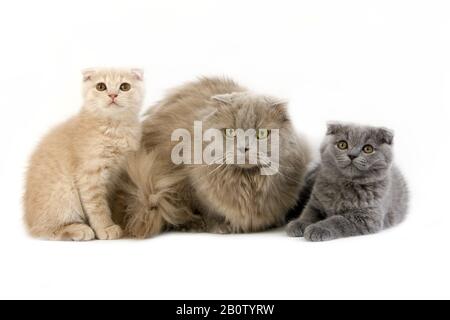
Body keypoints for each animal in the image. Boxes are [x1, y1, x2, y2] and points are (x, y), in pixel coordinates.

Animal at [24, 69, 144, 240]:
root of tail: (28, 220)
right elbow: (97, 206)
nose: (113, 95)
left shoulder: (117, 176)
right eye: (101, 86)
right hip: (63, 191)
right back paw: (79, 229)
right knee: (45, 229)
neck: (114, 128)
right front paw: (106, 227)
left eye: (124, 86)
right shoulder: (90, 175)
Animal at [116, 77, 312, 238]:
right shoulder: (188, 187)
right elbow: (205, 211)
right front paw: (219, 226)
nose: (244, 147)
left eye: (262, 134)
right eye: (230, 132)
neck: (247, 184)